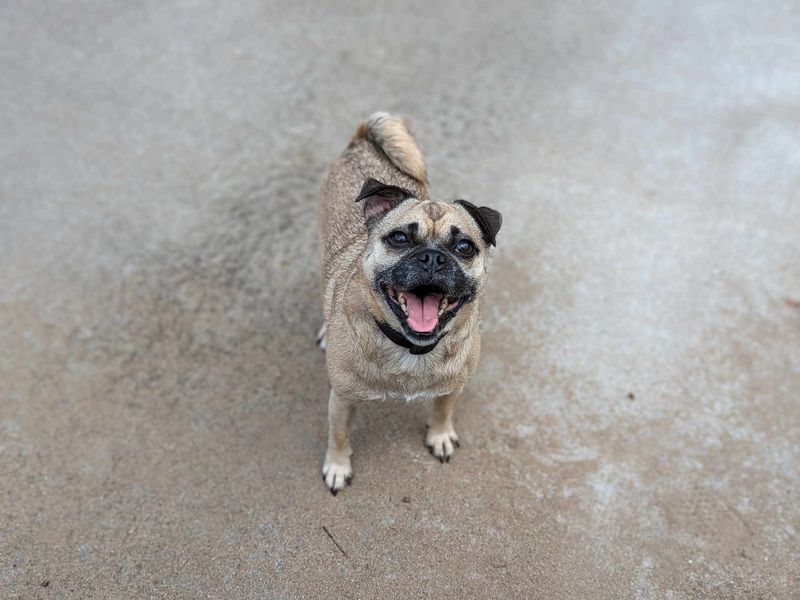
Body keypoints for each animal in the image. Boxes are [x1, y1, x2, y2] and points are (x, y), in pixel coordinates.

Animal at [318, 111, 500, 492]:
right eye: (400, 238)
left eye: (465, 247)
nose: (432, 257)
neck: (412, 348)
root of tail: (362, 141)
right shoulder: (341, 399)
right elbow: (338, 435)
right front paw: (338, 466)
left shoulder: (453, 387)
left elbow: (443, 410)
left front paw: (440, 435)